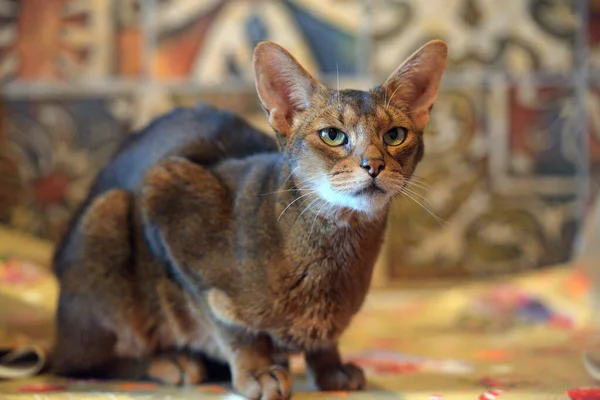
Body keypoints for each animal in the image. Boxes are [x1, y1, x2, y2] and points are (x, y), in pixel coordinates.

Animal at [50, 39, 446, 398]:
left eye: (395, 135)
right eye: (333, 135)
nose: (374, 164)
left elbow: (325, 341)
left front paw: (330, 367)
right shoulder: (166, 192)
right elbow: (232, 329)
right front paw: (256, 372)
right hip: (108, 214)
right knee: (83, 364)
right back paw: (173, 362)